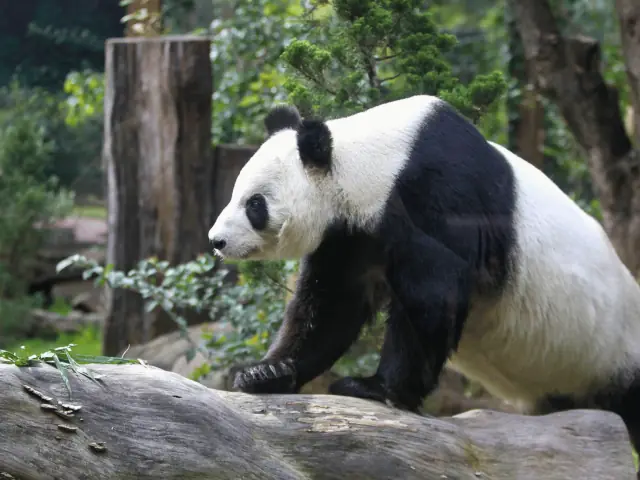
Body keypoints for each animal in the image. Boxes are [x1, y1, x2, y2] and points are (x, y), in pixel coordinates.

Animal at [207, 94, 640, 456]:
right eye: (233, 193)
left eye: (255, 204)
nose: (216, 241)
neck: (372, 162)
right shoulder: (351, 235)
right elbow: (330, 306)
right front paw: (265, 373)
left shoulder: (436, 195)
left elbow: (433, 293)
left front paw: (374, 389)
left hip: (619, 349)